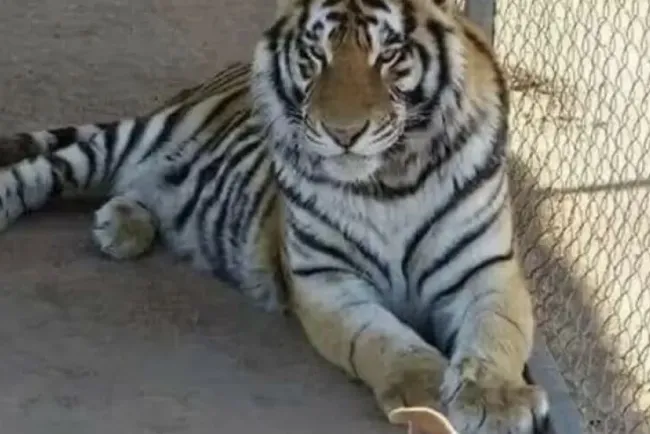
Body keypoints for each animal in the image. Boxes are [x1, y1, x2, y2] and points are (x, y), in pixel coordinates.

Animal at [0, 0, 549, 432]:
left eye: (389, 55)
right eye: (316, 55)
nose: (343, 133)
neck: (392, 181)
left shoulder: (486, 271)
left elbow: (499, 332)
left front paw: (498, 402)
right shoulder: (326, 281)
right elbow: (382, 341)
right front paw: (428, 392)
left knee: (135, 188)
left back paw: (122, 225)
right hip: (128, 140)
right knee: (43, 169)